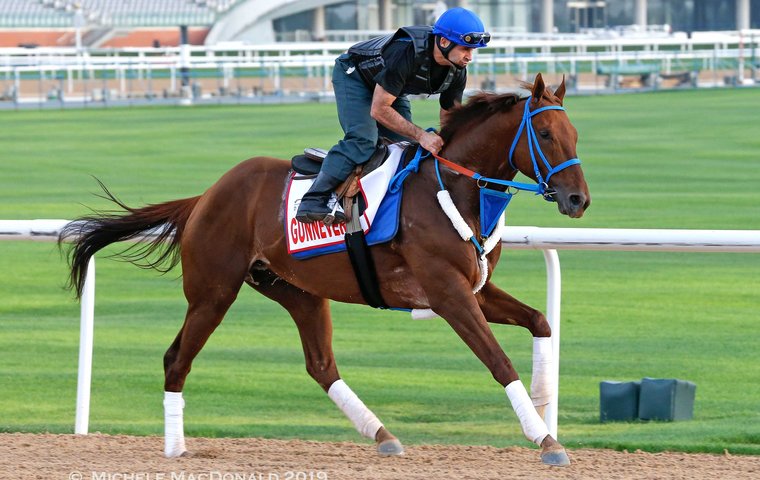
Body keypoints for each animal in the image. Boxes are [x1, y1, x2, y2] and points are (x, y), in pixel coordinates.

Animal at [60, 73, 590, 466]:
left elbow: (540, 321)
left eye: (575, 135)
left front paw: (544, 401)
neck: (453, 189)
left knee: (320, 364)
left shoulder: (475, 289)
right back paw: (175, 447)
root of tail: (206, 195)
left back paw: (382, 434)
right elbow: (498, 360)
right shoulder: (447, 294)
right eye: (545, 135)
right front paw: (545, 438)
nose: (578, 200)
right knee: (176, 358)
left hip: (297, 291)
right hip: (213, 292)